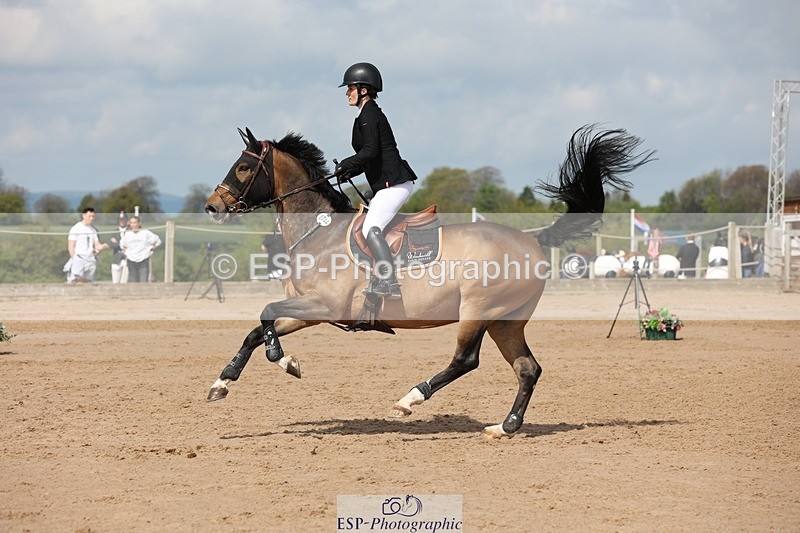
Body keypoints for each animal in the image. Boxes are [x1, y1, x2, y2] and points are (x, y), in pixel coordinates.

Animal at [204, 125, 653, 439]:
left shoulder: (323, 306)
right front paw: (222, 384)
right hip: (505, 321)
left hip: (477, 312)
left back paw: (409, 400)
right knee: (528, 368)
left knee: (465, 361)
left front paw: (285, 361)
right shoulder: (310, 311)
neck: (318, 232)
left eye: (243, 167)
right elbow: (256, 328)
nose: (212, 207)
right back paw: (504, 426)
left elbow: (264, 317)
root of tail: (533, 239)